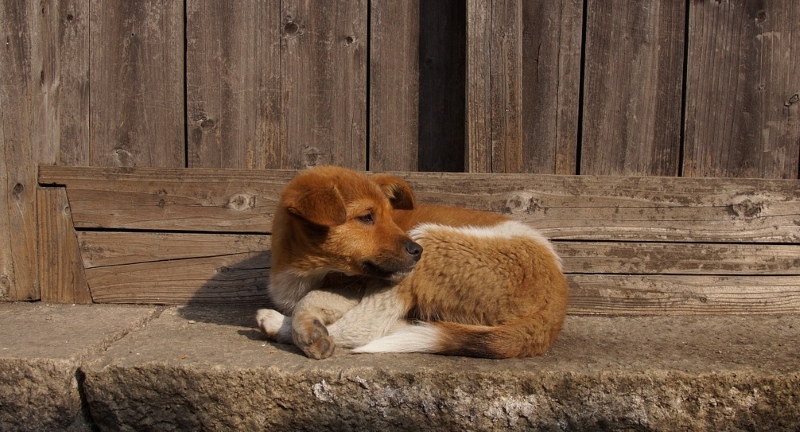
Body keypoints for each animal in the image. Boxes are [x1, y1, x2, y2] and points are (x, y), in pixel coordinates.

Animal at [258, 167, 568, 360]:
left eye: (390, 216)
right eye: (366, 217)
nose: (416, 251)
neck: (304, 270)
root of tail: (557, 302)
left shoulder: (356, 286)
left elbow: (311, 298)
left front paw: (304, 329)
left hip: (428, 243)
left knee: (367, 326)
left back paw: (275, 323)